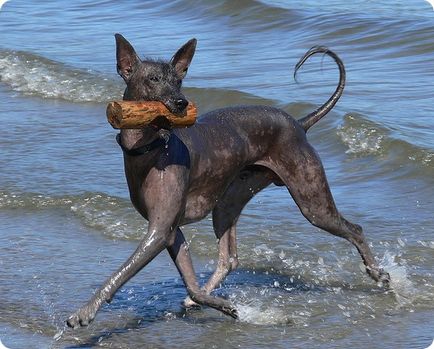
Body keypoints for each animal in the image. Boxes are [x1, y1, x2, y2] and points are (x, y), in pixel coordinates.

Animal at [67, 34, 390, 326]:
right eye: (154, 79)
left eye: (179, 81)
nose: (181, 102)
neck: (151, 147)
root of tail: (299, 124)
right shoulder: (171, 231)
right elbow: (190, 284)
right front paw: (217, 304)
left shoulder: (158, 232)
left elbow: (120, 273)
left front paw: (85, 312)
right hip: (228, 202)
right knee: (230, 258)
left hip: (312, 201)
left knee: (355, 229)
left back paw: (378, 273)